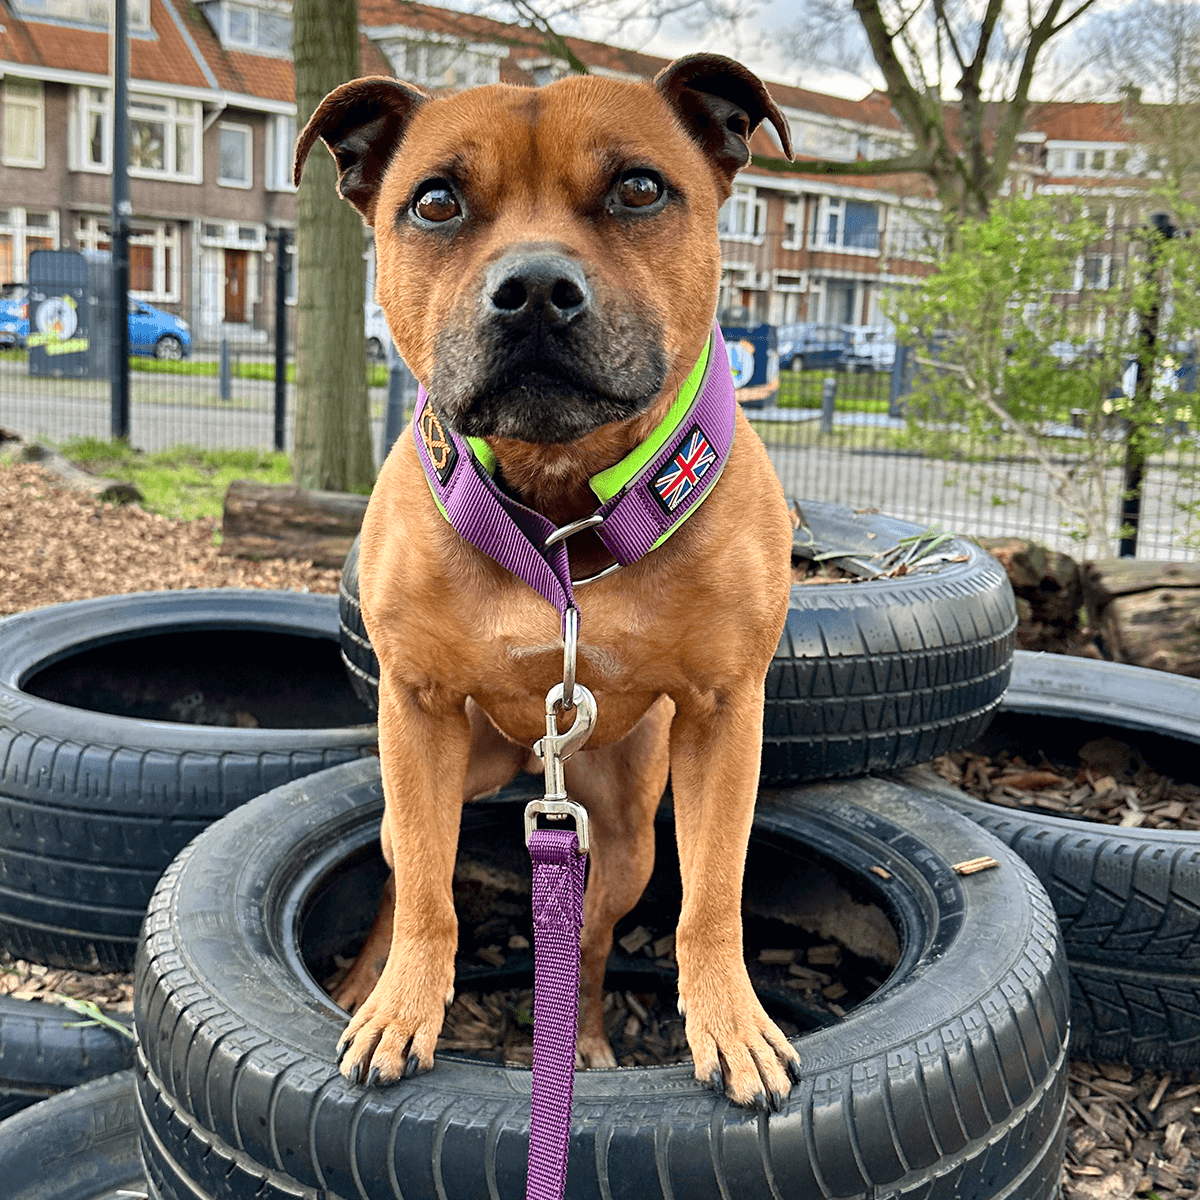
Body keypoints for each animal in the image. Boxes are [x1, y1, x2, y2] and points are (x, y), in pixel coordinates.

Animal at [290, 54, 796, 1104]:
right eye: (434, 201)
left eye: (639, 188)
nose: (531, 286)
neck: (560, 512)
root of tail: (536, 759)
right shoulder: (417, 713)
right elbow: (429, 895)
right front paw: (404, 1006)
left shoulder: (726, 717)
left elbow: (713, 895)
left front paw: (730, 1022)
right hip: (433, 782)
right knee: (403, 874)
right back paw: (370, 981)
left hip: (626, 837)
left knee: (594, 941)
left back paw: (587, 1037)